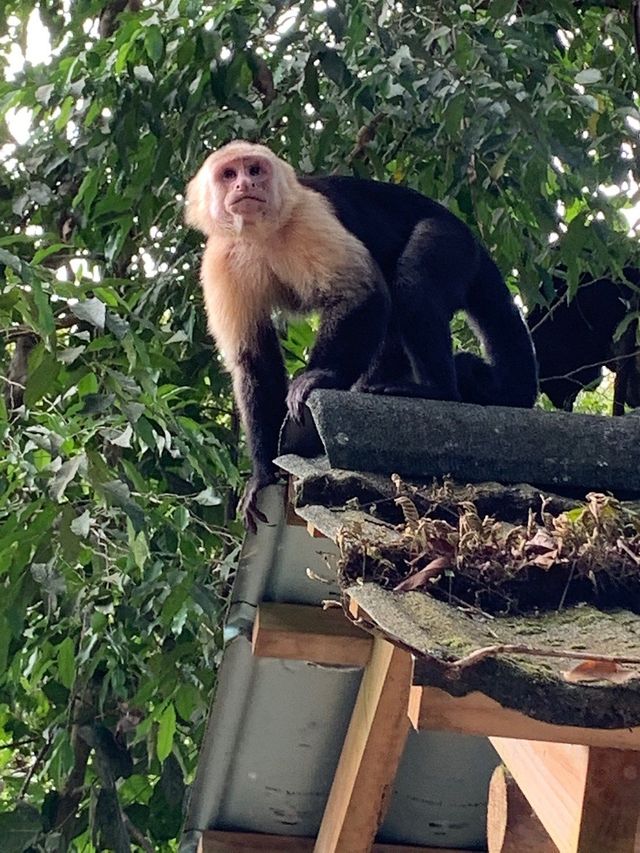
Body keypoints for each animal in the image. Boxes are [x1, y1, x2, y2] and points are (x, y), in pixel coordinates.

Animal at [186, 142, 540, 528]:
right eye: (229, 174)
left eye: (254, 170)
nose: (245, 185)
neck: (259, 234)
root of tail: (471, 236)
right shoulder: (220, 257)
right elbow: (253, 358)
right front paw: (263, 474)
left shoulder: (306, 215)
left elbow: (361, 293)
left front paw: (319, 377)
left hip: (453, 242)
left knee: (411, 283)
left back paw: (435, 390)